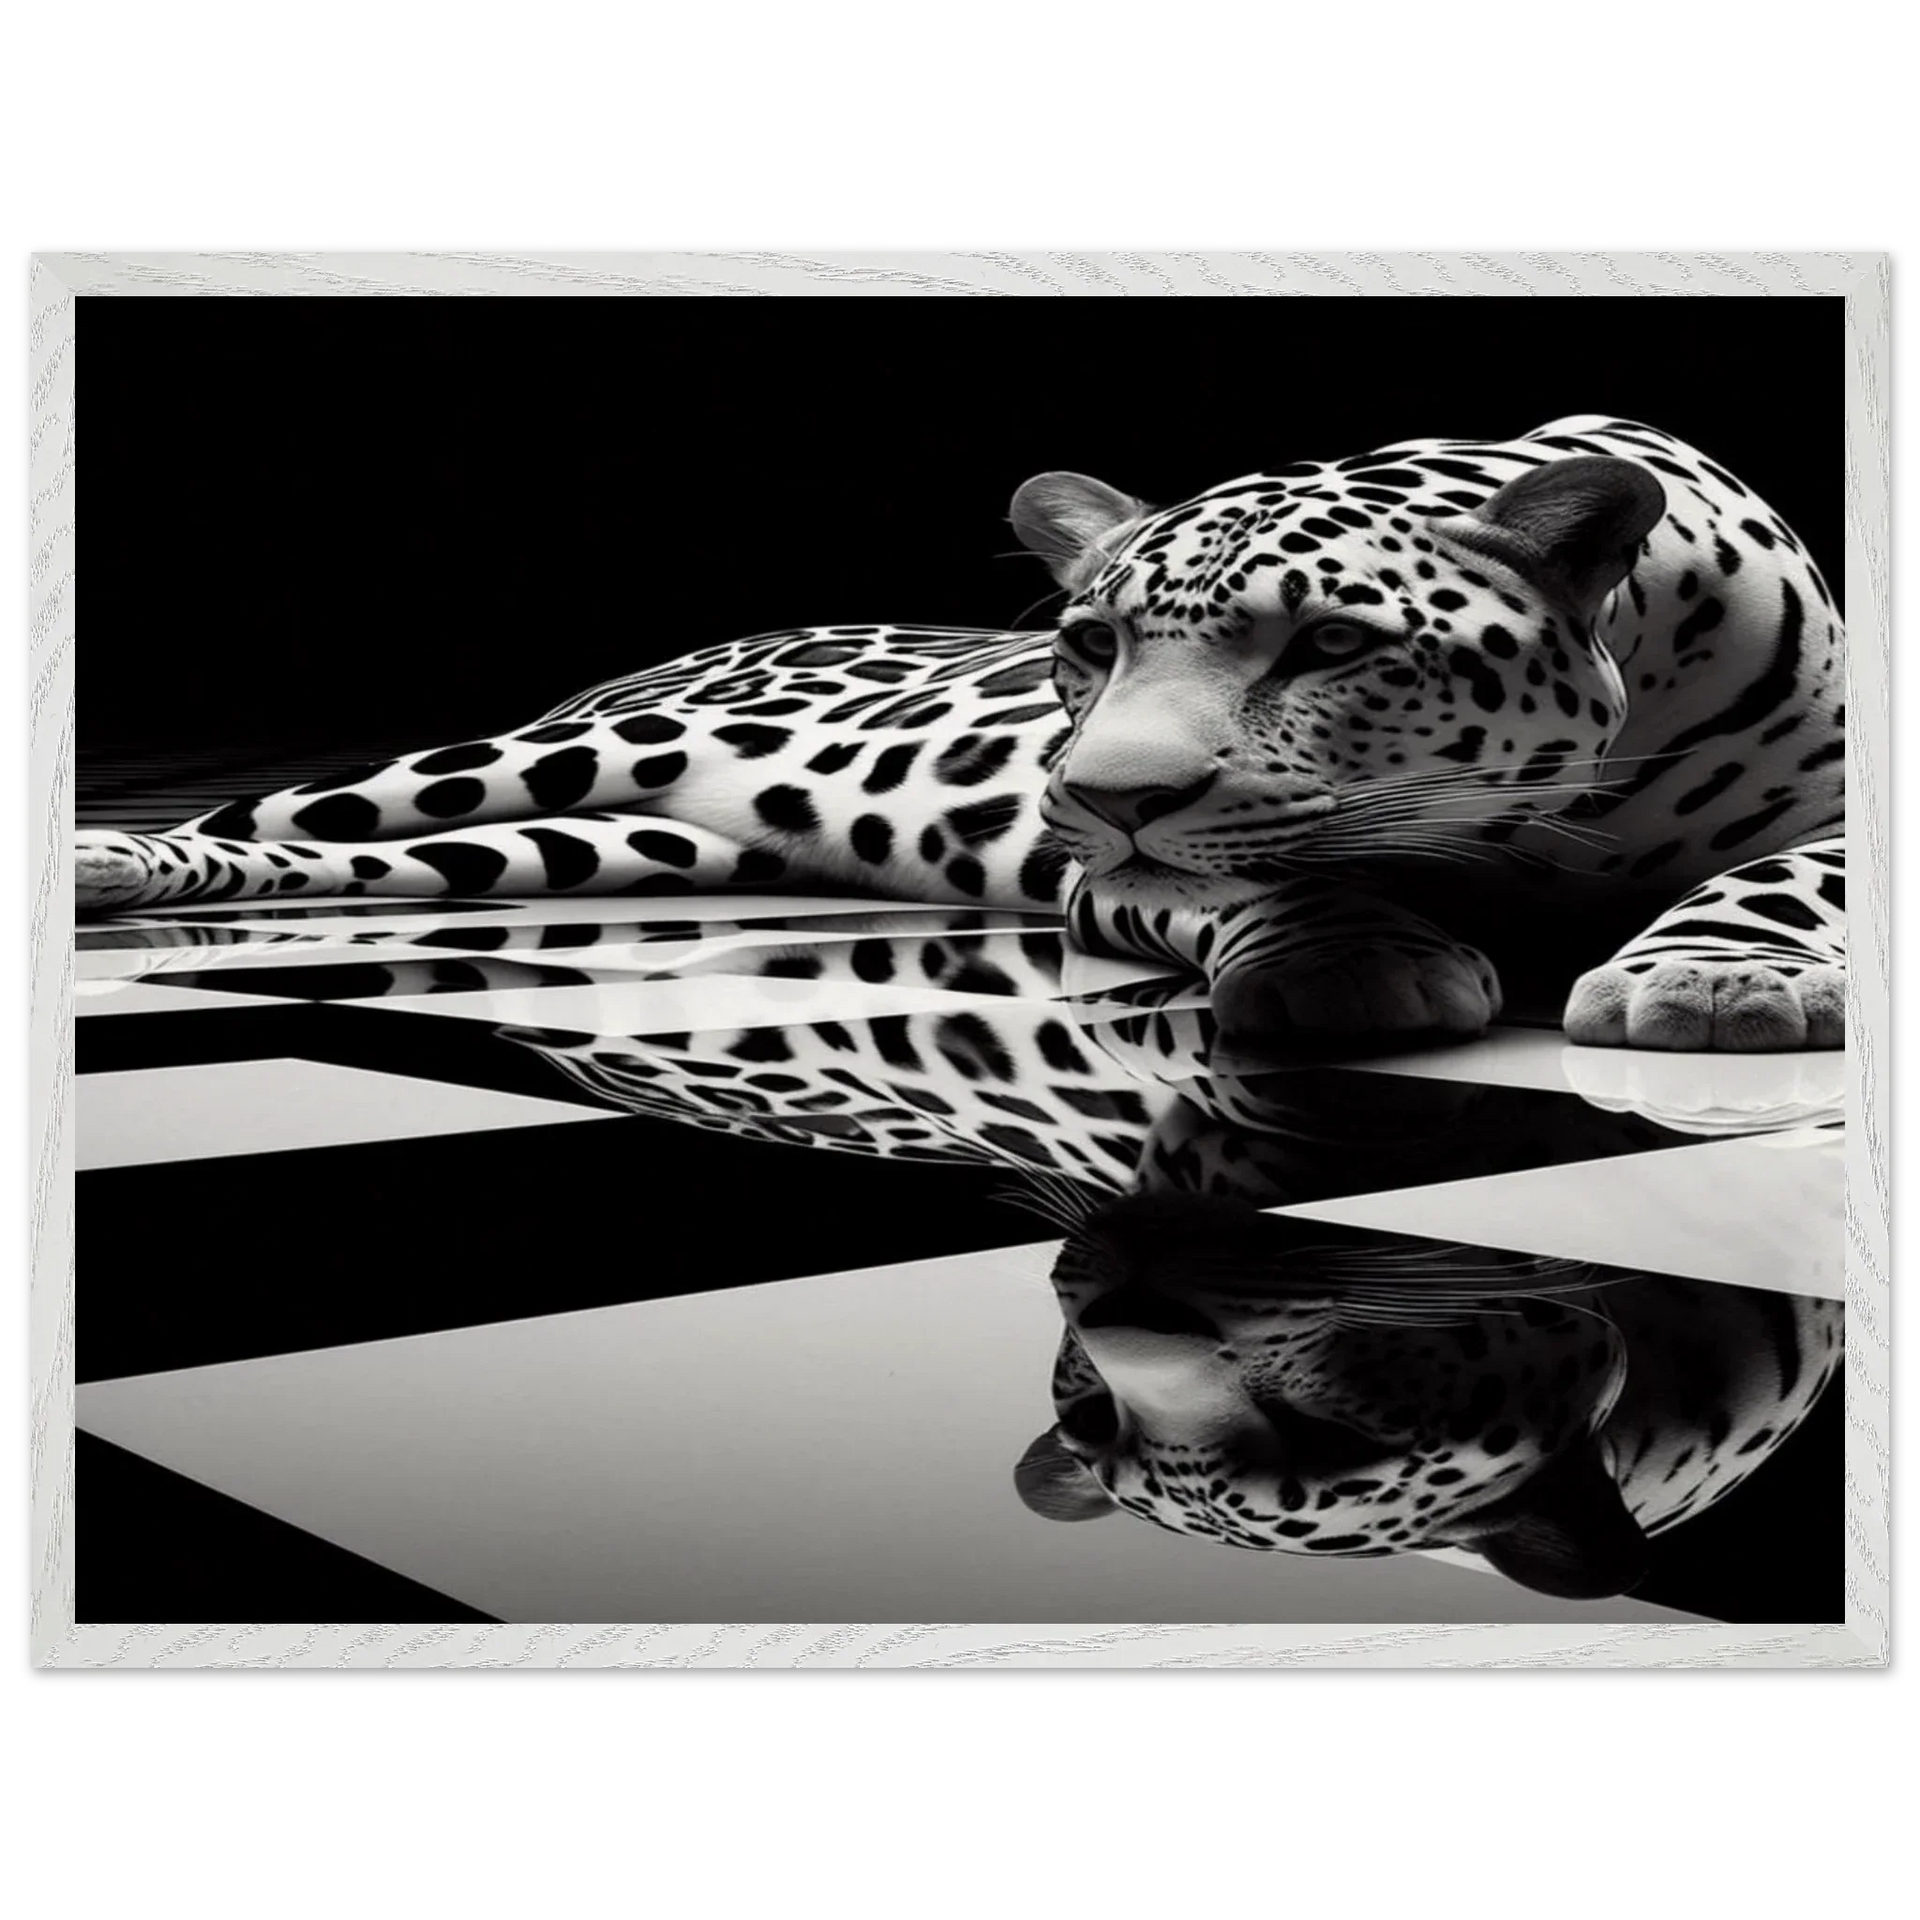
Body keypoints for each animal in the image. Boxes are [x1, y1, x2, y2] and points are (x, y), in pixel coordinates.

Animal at [73, 415, 1847, 1055]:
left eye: (1335, 645)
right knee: (273, 812)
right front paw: (1354, 960)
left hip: (591, 842)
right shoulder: (1111, 879)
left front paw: (1720, 978)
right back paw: (107, 862)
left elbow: (1789, 877)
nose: (1101, 792)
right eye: (1089, 645)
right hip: (537, 762)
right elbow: (1262, 877)